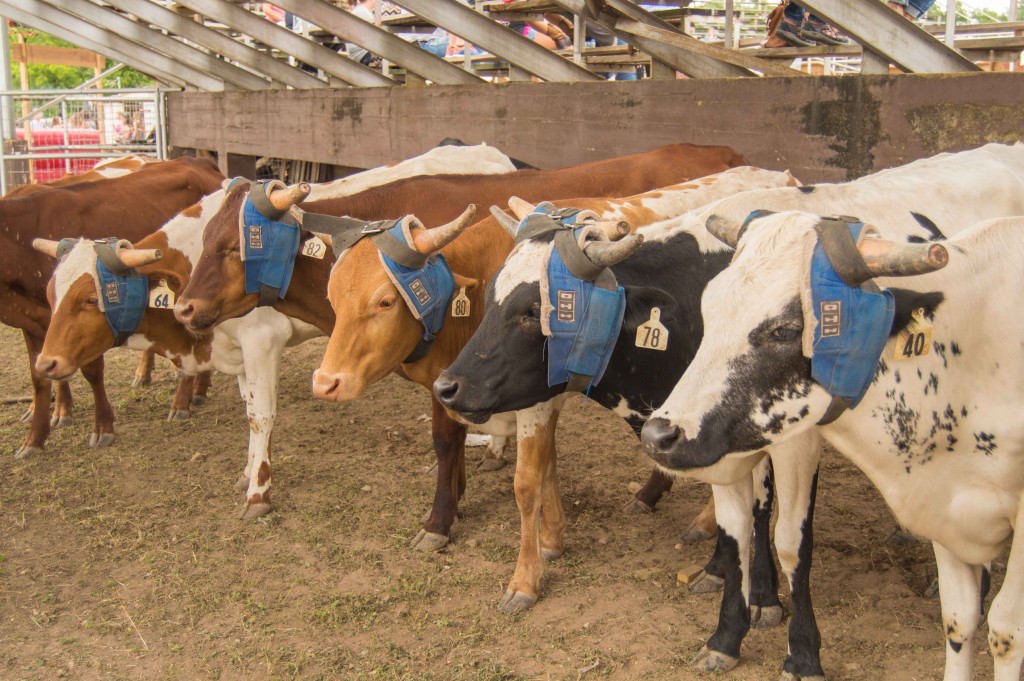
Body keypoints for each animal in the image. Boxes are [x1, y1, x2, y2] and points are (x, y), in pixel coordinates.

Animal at [0, 155, 224, 456]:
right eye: (51, 294)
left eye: (92, 299)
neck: (19, 235)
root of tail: (195, 159)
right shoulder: (36, 322)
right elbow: (40, 377)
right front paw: (35, 437)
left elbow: (91, 372)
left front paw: (102, 427)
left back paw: (184, 399)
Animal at [643, 213, 1024, 679]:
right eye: (709, 310)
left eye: (785, 330)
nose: (658, 435)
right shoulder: (944, 509)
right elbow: (960, 618)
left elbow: (1006, 631)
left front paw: (801, 656)